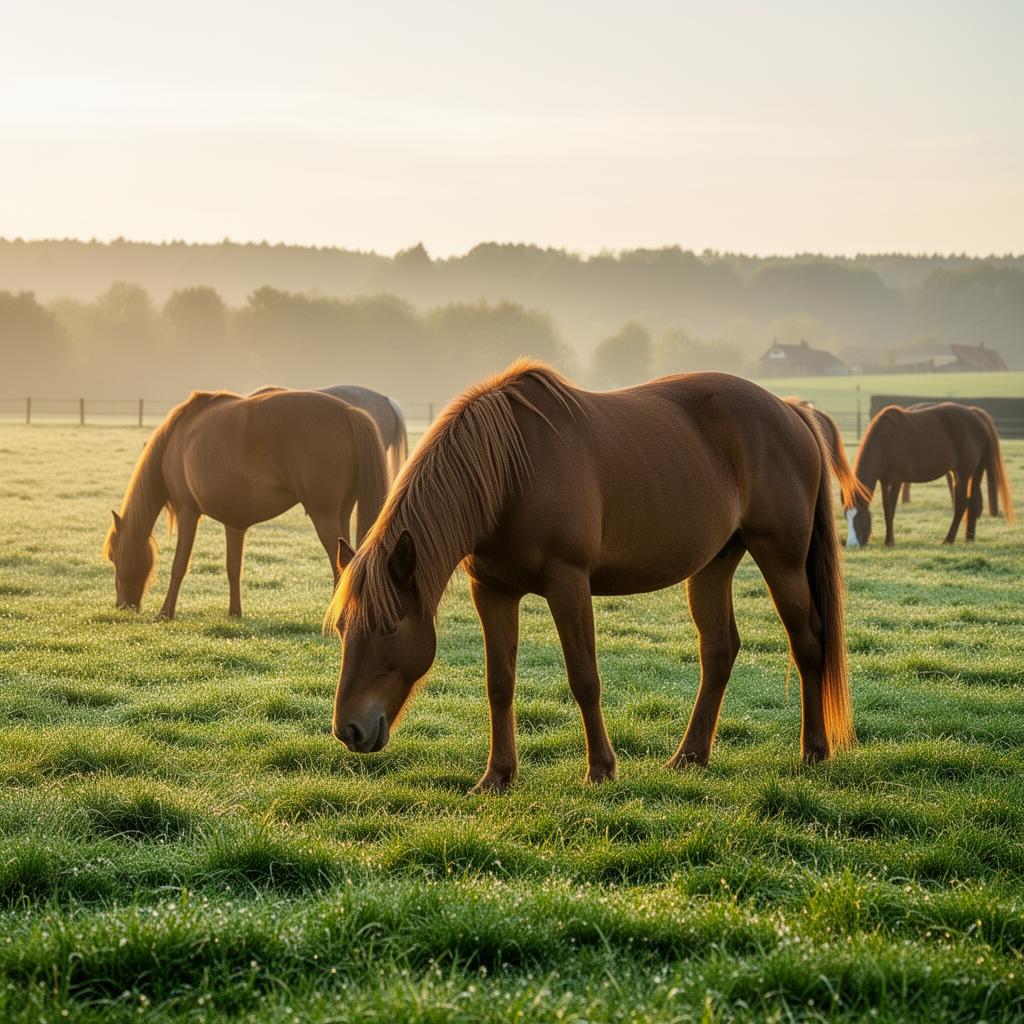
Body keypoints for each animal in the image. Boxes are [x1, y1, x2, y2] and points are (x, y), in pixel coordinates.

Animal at [105, 389, 389, 620]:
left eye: (112, 557)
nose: (123, 606)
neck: (175, 438)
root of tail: (348, 412)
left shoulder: (188, 512)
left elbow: (179, 565)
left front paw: (165, 613)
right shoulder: (234, 524)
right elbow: (234, 567)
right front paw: (234, 612)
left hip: (324, 515)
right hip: (341, 512)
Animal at [325, 360, 855, 792]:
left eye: (388, 627)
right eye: (343, 629)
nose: (349, 730)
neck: (512, 472)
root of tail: (790, 411)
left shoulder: (569, 585)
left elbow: (584, 678)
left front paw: (600, 769)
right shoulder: (493, 592)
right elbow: (500, 683)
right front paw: (497, 776)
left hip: (781, 560)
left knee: (808, 644)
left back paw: (813, 751)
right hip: (714, 564)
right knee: (719, 651)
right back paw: (689, 756)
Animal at [847, 402, 1015, 547]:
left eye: (859, 517)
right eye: (845, 516)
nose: (852, 545)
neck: (885, 439)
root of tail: (978, 417)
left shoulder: (896, 479)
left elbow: (890, 509)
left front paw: (889, 541)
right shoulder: (884, 480)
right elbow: (886, 507)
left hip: (965, 472)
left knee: (962, 503)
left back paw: (949, 539)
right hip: (971, 471)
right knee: (972, 501)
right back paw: (969, 537)